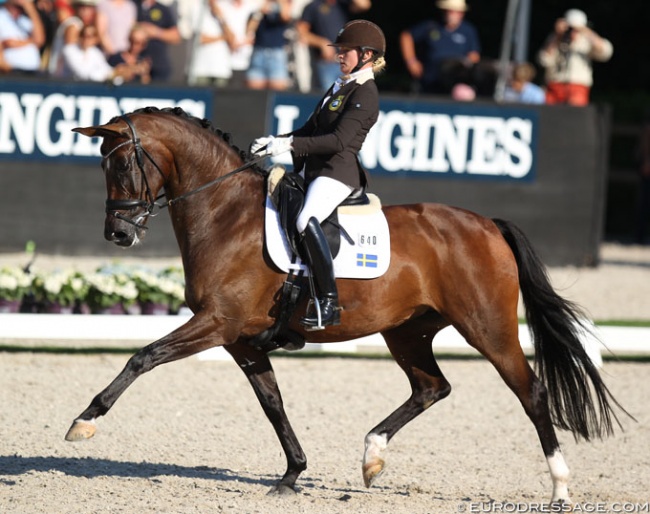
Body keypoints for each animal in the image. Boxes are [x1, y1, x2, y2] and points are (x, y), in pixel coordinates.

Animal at [64, 107, 624, 500]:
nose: (118, 234)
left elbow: (144, 356)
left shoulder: (217, 323)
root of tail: (487, 224)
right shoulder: (242, 339)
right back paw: (372, 456)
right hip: (407, 331)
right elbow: (272, 403)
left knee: (531, 393)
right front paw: (292, 475)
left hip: (489, 328)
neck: (225, 215)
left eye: (122, 163)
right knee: (431, 387)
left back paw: (559, 488)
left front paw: (85, 421)